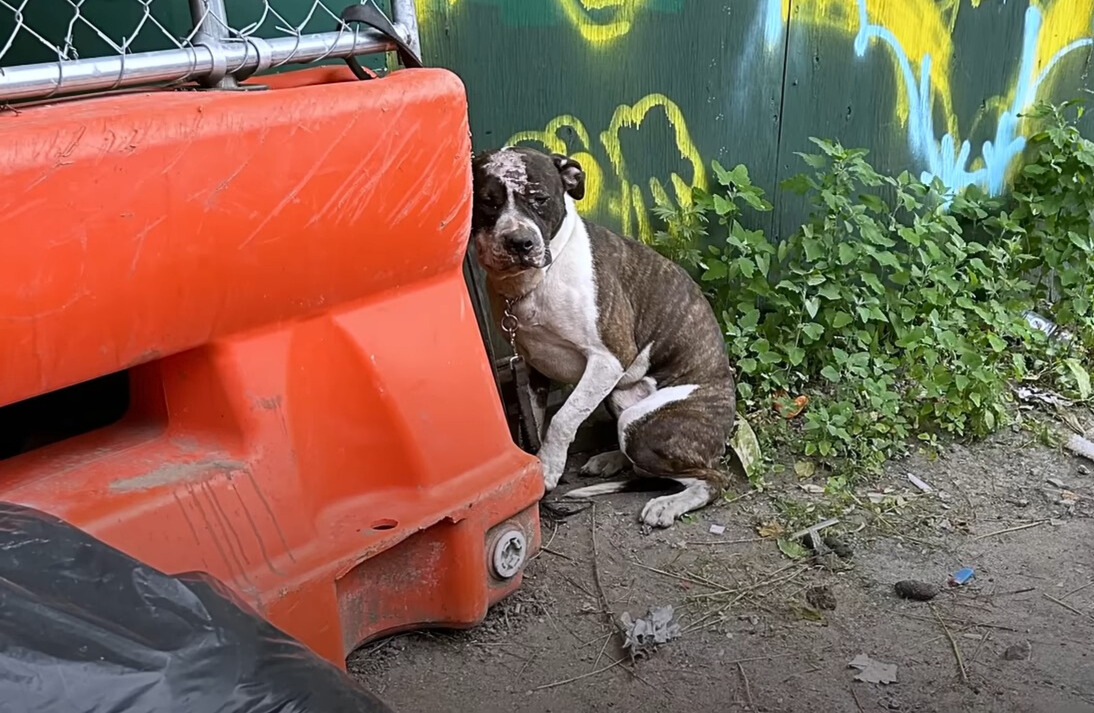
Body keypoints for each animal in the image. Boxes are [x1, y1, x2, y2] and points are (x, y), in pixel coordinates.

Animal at [470, 144, 735, 527]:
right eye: (488, 202)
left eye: (540, 199)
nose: (520, 242)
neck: (536, 282)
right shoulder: (531, 368)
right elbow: (533, 421)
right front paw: (538, 463)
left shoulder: (609, 359)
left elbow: (564, 417)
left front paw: (549, 467)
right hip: (621, 400)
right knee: (644, 466)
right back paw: (611, 460)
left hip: (642, 424)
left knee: (711, 478)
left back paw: (669, 503)